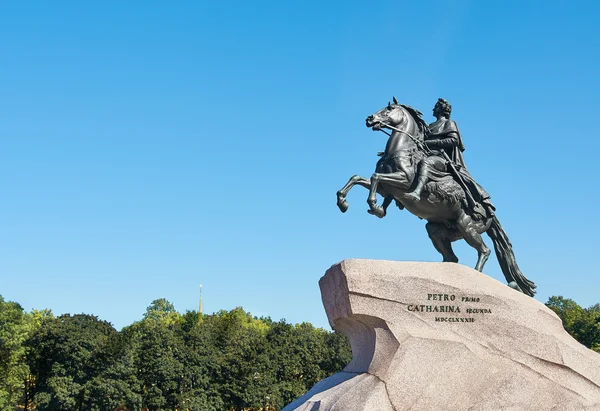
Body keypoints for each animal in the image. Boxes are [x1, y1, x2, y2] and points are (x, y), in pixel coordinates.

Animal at [336, 100, 536, 300]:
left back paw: (477, 276)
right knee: (452, 258)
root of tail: (490, 213)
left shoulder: (403, 180)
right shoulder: (387, 189)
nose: (370, 119)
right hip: (438, 230)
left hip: (467, 226)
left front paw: (374, 204)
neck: (401, 150)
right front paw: (344, 203)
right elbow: (358, 178)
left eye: (389, 109)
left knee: (484, 251)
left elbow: (375, 177)